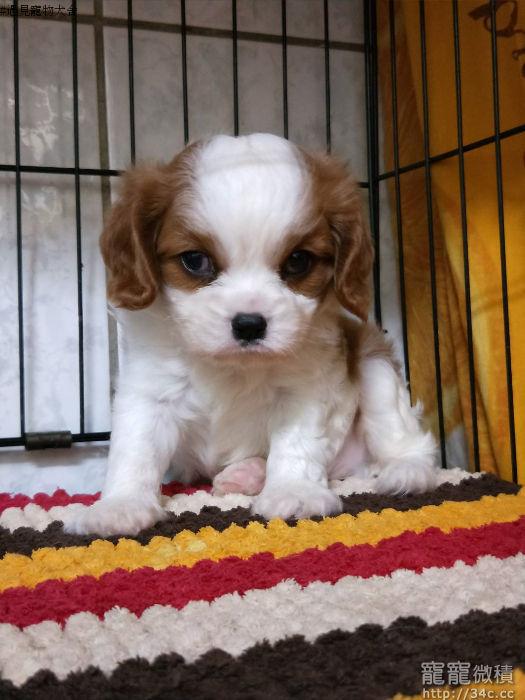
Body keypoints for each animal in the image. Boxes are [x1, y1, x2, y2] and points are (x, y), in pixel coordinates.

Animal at [64, 133, 438, 536]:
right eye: (195, 260)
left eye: (298, 261)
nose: (249, 323)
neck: (232, 366)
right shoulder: (149, 391)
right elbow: (135, 448)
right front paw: (120, 505)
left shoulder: (306, 388)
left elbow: (297, 442)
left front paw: (293, 491)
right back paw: (246, 473)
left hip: (373, 362)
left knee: (401, 432)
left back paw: (407, 470)